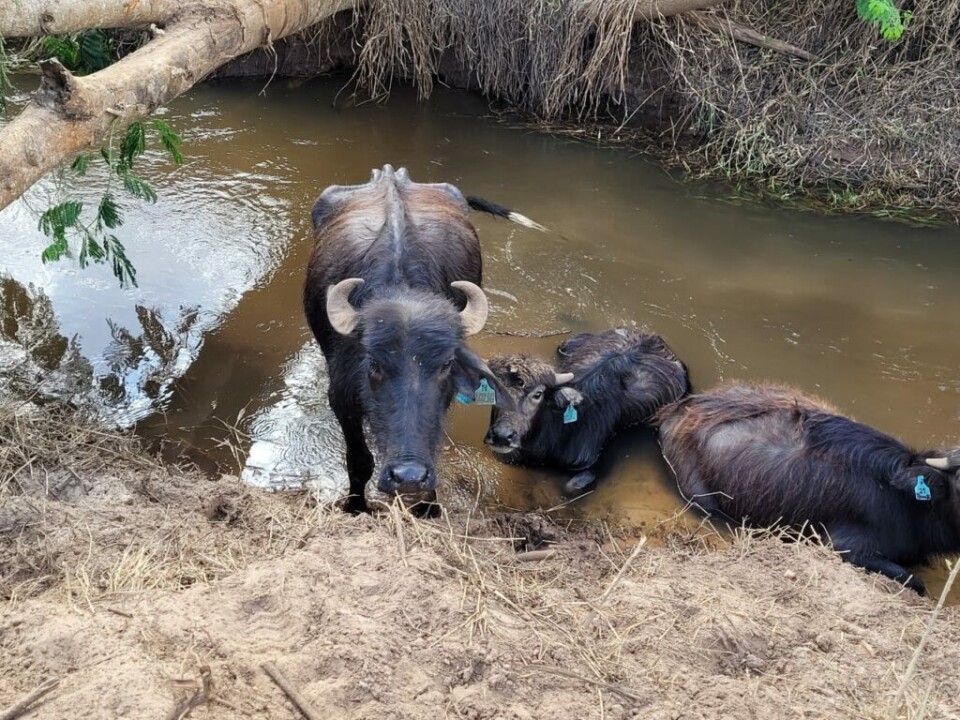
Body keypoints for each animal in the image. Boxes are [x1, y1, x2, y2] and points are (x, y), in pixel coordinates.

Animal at [304, 165, 532, 512]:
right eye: (374, 364)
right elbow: (359, 461)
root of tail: (389, 172)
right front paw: (356, 506)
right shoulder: (342, 400)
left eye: (446, 364)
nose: (409, 476)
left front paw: (428, 506)